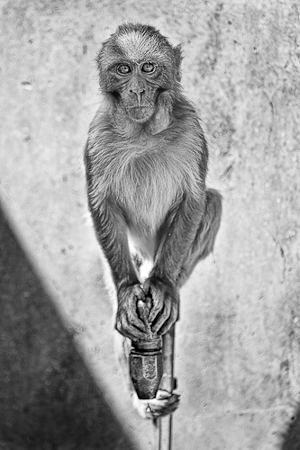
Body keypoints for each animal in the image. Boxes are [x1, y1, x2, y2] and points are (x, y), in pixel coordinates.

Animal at [84, 23, 223, 418]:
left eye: (147, 68)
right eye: (123, 69)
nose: (137, 90)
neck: (143, 133)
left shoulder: (191, 129)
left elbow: (194, 199)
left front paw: (161, 285)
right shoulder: (97, 136)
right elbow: (102, 205)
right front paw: (129, 290)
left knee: (212, 202)